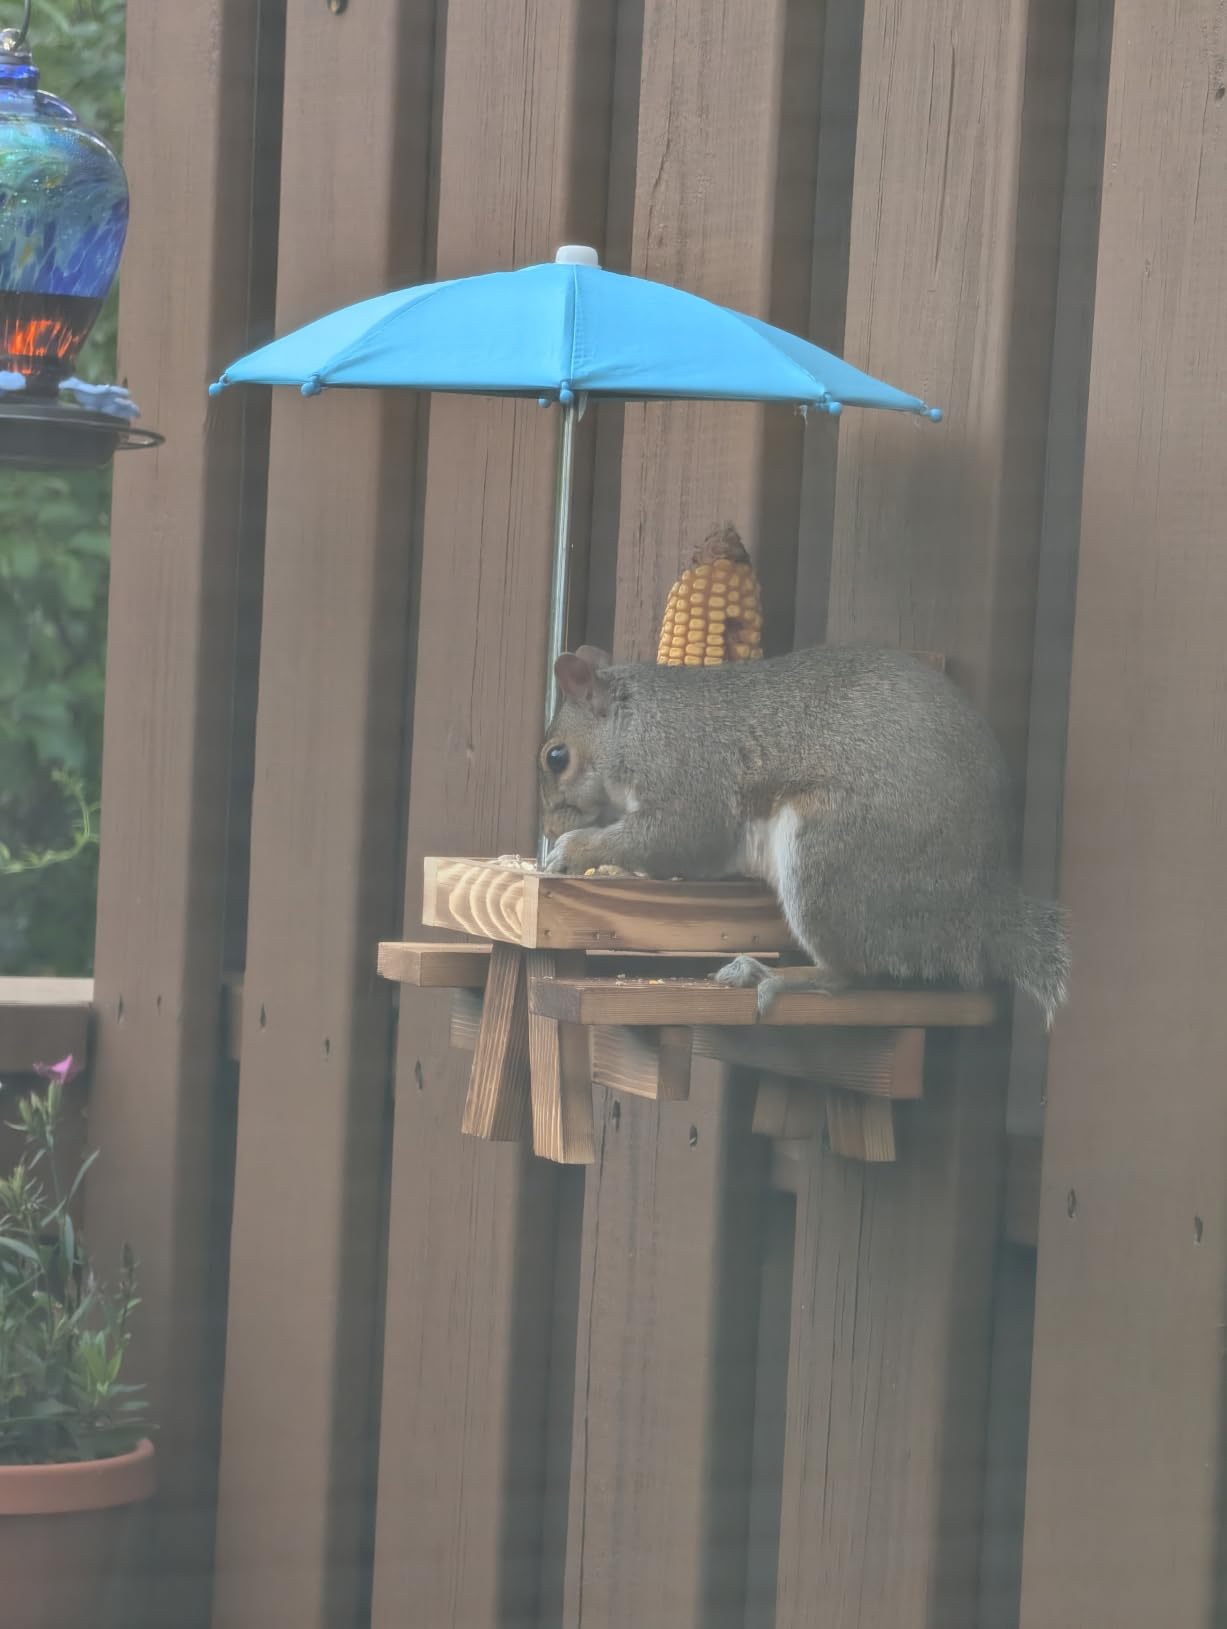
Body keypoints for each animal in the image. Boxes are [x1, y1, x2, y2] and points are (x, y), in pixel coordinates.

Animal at [539, 643, 1070, 1024]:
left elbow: (678, 837)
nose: (547, 825)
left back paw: (771, 973)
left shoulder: (687, 773)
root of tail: (980, 909)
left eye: (556, 756)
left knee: (846, 977)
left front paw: (573, 850)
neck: (632, 724)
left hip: (828, 855)